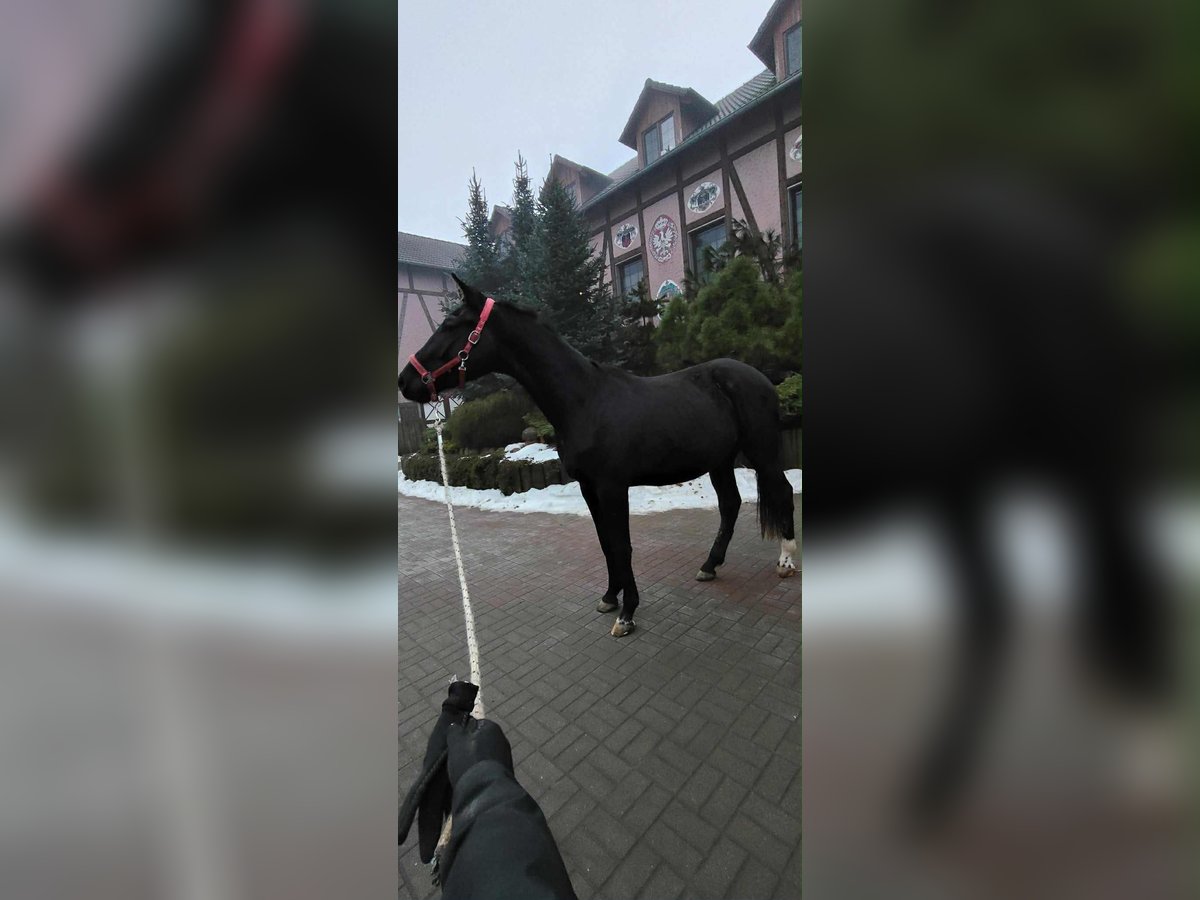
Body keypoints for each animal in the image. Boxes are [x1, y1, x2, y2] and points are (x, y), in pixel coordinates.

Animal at [398, 273, 797, 638]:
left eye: (451, 325)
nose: (405, 380)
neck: (585, 401)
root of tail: (759, 377)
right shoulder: (588, 487)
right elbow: (606, 543)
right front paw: (609, 598)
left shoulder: (612, 487)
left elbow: (622, 545)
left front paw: (628, 613)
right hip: (720, 461)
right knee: (730, 504)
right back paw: (710, 566)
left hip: (762, 452)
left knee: (782, 492)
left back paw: (786, 561)